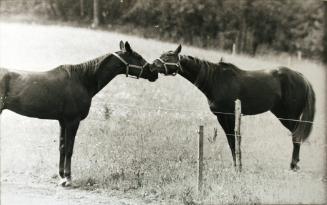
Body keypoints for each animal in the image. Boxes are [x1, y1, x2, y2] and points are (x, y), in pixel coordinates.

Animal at [0, 40, 159, 186]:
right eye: (138, 57)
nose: (154, 72)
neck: (82, 79)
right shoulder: (73, 121)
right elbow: (70, 149)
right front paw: (68, 178)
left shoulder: (63, 121)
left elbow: (62, 148)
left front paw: (61, 176)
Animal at [151, 45, 316, 171]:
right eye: (162, 55)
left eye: (169, 57)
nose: (152, 66)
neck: (215, 80)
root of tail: (301, 77)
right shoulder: (222, 117)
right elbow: (231, 141)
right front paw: (236, 165)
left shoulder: (229, 116)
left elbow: (234, 140)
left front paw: (238, 167)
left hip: (288, 116)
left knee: (296, 136)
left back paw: (293, 165)